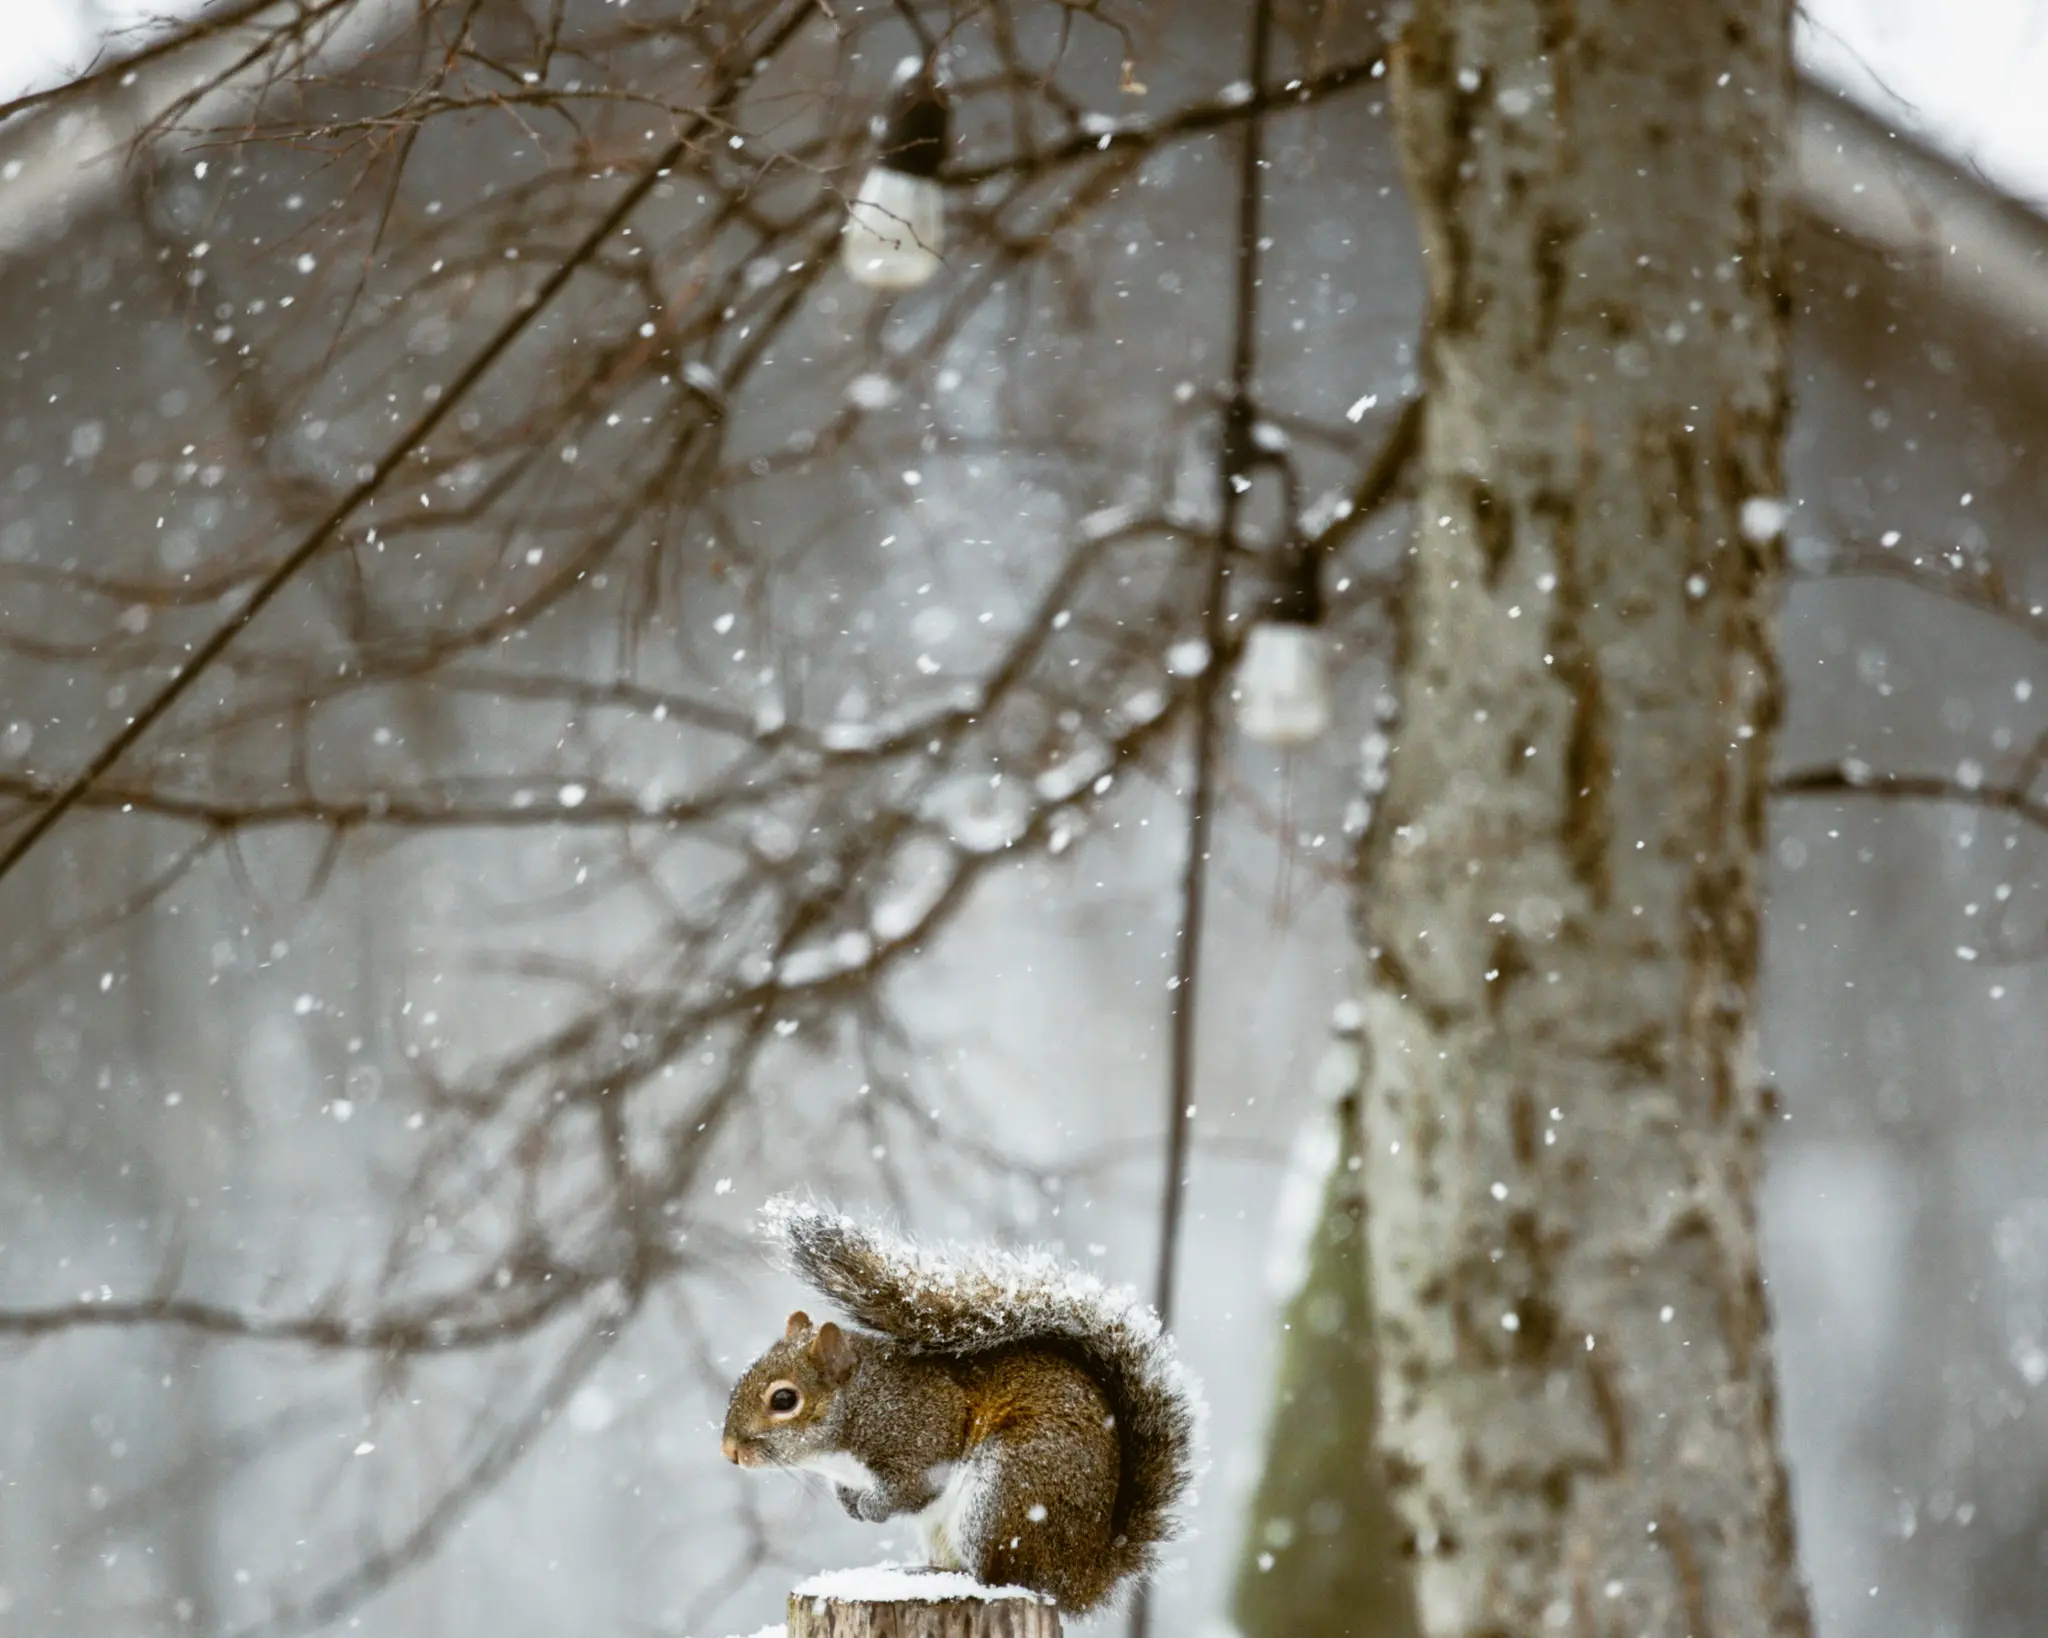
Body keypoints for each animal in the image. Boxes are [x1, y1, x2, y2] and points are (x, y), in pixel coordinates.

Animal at [720, 1197, 1202, 1614]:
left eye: (784, 1399)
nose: (729, 1451)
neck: (859, 1403)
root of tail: (1084, 1574)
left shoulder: (921, 1431)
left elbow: (912, 1488)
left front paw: (871, 1507)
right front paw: (848, 1501)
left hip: (1005, 1493)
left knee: (1002, 1575)